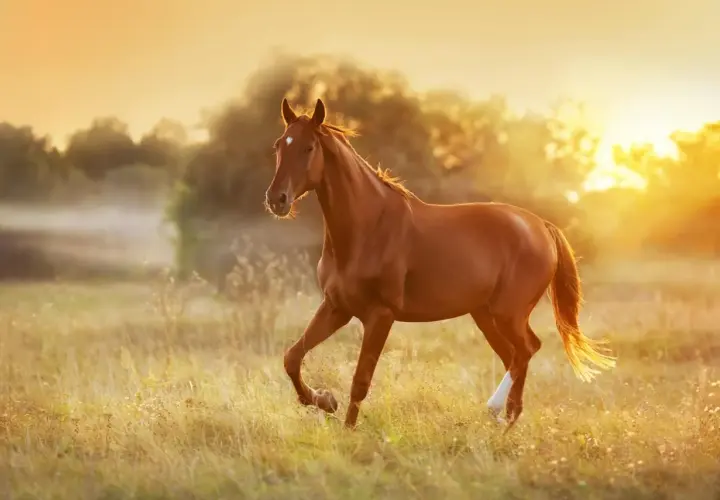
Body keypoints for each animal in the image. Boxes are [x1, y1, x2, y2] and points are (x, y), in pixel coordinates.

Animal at [264, 97, 616, 431]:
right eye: (279, 144)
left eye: (309, 147)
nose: (276, 199)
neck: (368, 228)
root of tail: (540, 225)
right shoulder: (337, 307)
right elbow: (291, 357)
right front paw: (324, 400)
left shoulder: (380, 316)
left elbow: (360, 382)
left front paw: (347, 430)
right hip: (485, 315)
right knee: (515, 357)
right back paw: (503, 421)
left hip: (508, 314)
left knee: (527, 350)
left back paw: (496, 410)